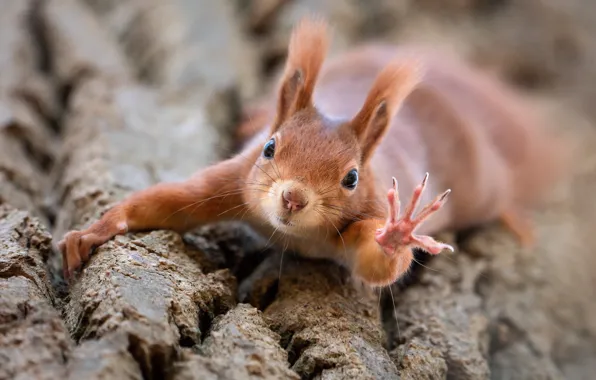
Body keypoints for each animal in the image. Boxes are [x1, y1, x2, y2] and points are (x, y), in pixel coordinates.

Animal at [60, 17, 568, 284]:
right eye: (269, 148)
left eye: (352, 178)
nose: (292, 198)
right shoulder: (232, 180)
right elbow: (169, 202)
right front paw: (94, 231)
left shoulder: (365, 216)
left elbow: (379, 264)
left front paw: (398, 234)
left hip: (481, 184)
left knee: (500, 195)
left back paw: (515, 217)